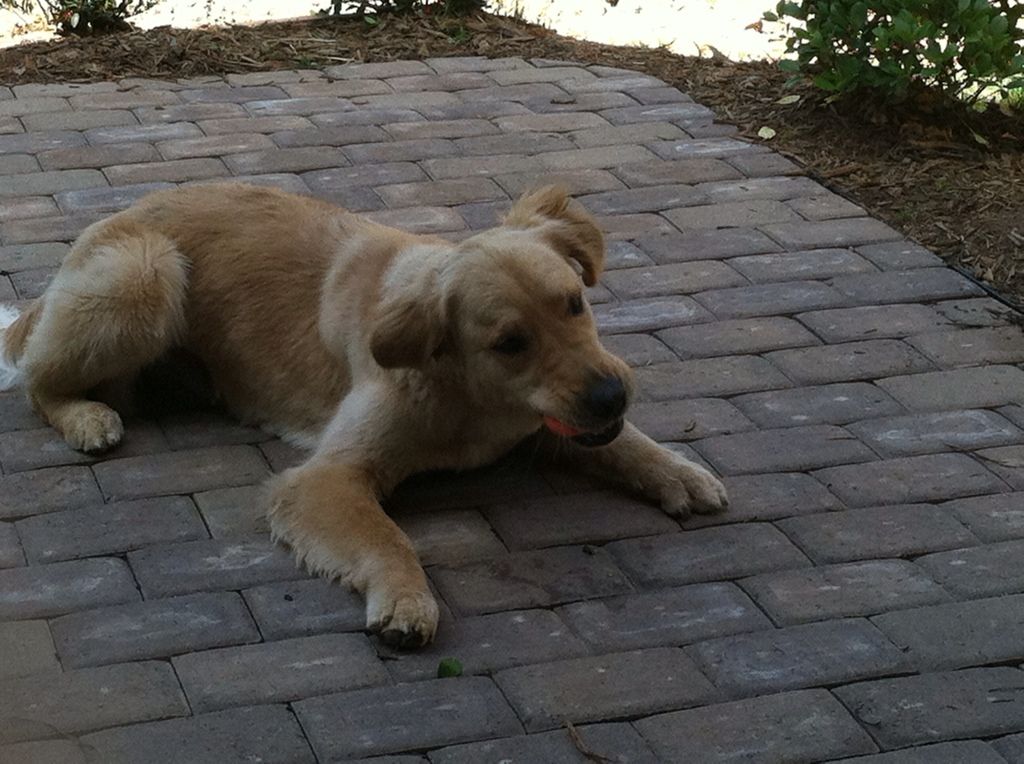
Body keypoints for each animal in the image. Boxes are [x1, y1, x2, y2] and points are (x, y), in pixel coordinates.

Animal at [4, 183, 733, 643]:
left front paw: (677, 470)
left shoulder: (551, 420)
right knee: (37, 381)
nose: (612, 395)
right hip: (146, 275)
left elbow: (623, 443)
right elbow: (387, 538)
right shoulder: (325, 477)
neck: (468, 395)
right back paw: (86, 417)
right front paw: (407, 600)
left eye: (574, 303)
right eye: (510, 343)